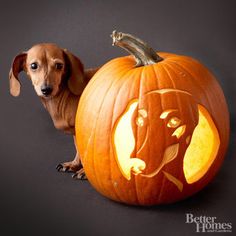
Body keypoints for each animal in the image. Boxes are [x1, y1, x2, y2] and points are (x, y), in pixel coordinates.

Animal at [9, 43, 98, 179]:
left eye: (59, 65)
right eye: (33, 65)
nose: (46, 89)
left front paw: (86, 172)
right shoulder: (76, 132)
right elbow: (78, 148)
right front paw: (74, 165)